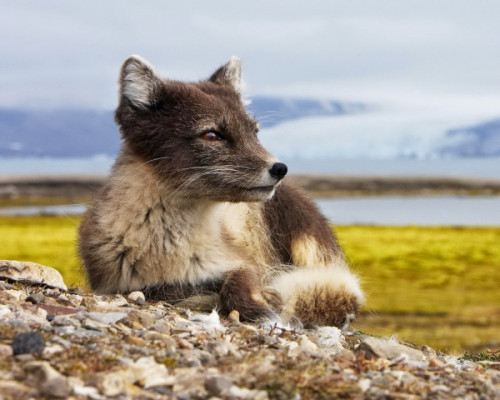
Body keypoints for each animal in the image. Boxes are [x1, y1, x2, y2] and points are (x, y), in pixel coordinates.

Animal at [80, 54, 366, 328]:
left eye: (254, 132)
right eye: (211, 135)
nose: (280, 169)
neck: (171, 247)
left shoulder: (245, 262)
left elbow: (238, 284)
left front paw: (262, 306)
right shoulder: (119, 282)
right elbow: (165, 289)